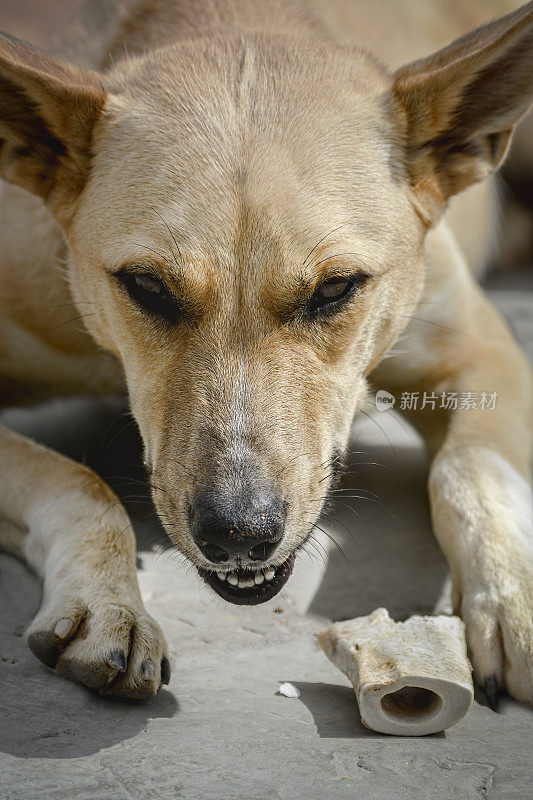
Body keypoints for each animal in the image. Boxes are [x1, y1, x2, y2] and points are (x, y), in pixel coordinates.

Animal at [0, 0, 528, 700]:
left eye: (336, 288)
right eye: (146, 285)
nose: (237, 534)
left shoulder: (480, 349)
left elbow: (470, 467)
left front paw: (511, 596)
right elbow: (77, 481)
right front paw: (106, 601)